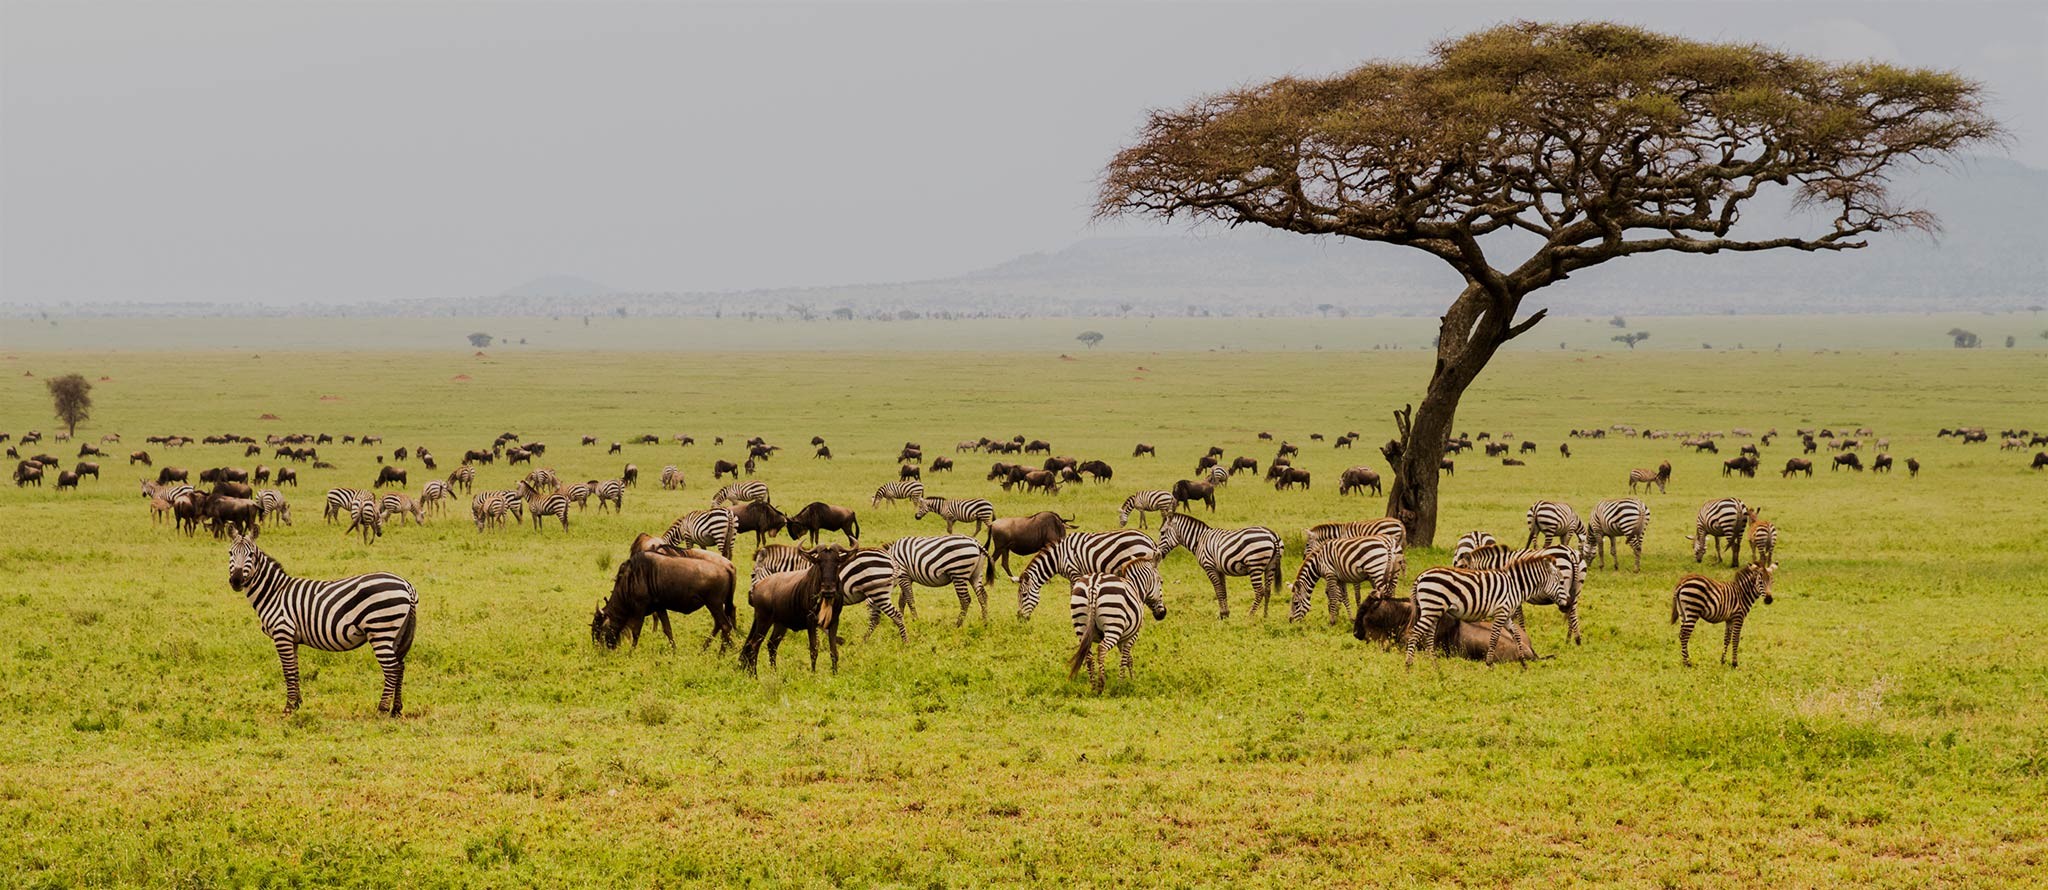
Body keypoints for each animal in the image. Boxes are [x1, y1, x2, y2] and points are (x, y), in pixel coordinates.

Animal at [226, 536, 417, 716]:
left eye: (251, 555)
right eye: (230, 553)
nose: (235, 580)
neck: (274, 593)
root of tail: (406, 585)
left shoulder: (282, 633)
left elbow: (288, 671)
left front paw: (288, 708)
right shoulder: (292, 638)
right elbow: (295, 671)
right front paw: (297, 704)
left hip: (380, 629)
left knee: (391, 668)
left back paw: (382, 709)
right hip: (397, 633)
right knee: (400, 666)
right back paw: (396, 710)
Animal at [753, 544, 905, 642]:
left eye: (752, 575)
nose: (751, 597)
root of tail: (889, 557)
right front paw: (837, 639)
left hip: (878, 592)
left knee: (896, 616)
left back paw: (905, 643)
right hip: (877, 593)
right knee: (876, 618)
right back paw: (864, 641)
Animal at [1015, 527, 1163, 621]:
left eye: (1024, 595)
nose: (1020, 618)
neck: (1059, 557)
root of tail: (1149, 540)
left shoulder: (1074, 572)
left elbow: (1073, 593)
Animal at [1409, 552, 1564, 671]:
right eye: (1561, 582)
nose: (1565, 604)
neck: (1515, 586)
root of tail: (1421, 576)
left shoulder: (1507, 615)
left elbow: (1517, 636)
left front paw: (1523, 663)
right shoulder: (1501, 612)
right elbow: (1494, 637)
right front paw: (1489, 664)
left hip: (1434, 610)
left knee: (1428, 636)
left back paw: (1434, 665)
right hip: (1431, 607)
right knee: (1415, 633)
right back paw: (1408, 666)